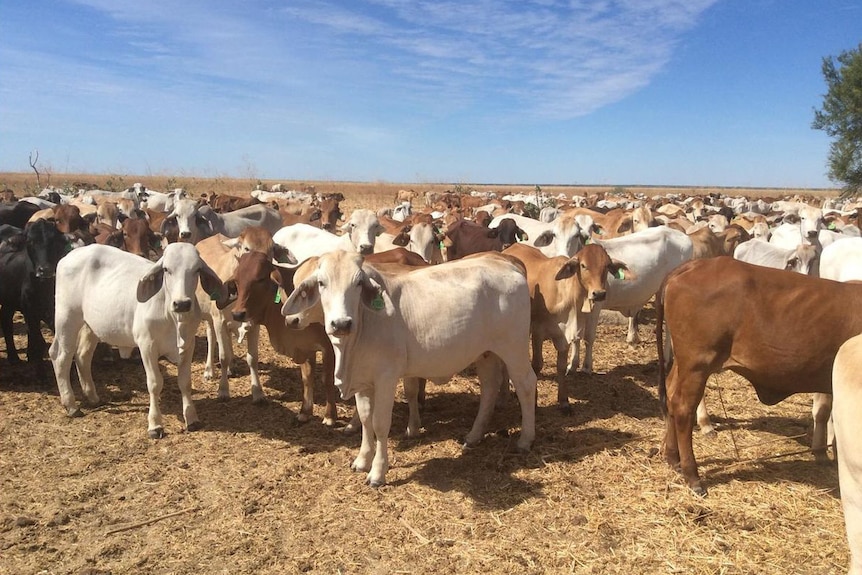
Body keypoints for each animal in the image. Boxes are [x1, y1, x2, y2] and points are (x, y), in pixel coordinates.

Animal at [0, 219, 71, 378]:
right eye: (30, 241)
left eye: (54, 241)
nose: (44, 270)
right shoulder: (30, 310)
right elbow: (38, 340)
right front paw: (41, 373)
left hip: (9, 302)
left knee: (7, 322)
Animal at [48, 242, 226, 436]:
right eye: (166, 269)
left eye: (197, 269)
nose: (182, 304)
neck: (173, 318)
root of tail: (71, 255)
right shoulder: (147, 346)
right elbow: (155, 383)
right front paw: (155, 425)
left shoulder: (188, 345)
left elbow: (185, 382)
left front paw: (192, 418)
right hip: (66, 317)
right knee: (60, 356)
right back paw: (71, 405)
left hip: (92, 325)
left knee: (82, 356)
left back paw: (93, 397)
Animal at [286, 251, 540, 486]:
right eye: (321, 283)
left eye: (358, 283)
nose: (341, 324)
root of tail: (508, 264)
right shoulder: (362, 380)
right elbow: (365, 419)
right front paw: (361, 460)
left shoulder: (386, 378)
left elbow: (379, 423)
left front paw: (377, 472)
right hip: (486, 353)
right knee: (489, 388)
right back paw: (474, 435)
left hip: (513, 348)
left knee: (526, 384)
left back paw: (525, 439)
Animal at [502, 241, 632, 412]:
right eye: (583, 265)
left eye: (607, 265)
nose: (599, 294)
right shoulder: (538, 332)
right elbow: (537, 364)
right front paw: (535, 401)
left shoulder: (564, 337)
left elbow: (562, 367)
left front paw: (564, 401)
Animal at [656, 256, 862, 496]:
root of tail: (695, 265)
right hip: (697, 365)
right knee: (682, 408)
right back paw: (692, 475)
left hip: (684, 364)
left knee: (671, 397)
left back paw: (673, 458)